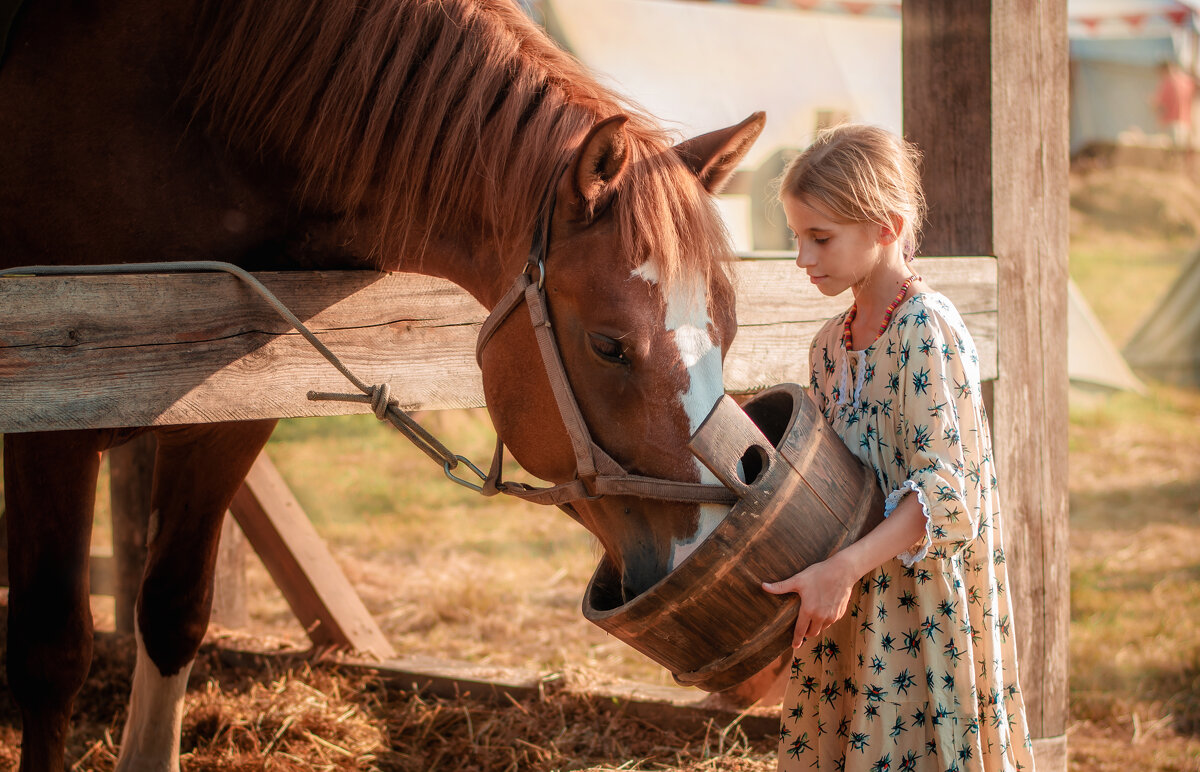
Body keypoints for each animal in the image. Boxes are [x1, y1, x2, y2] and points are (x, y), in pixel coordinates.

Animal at [0, 1, 763, 772]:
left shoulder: (223, 413)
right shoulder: (48, 415)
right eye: (610, 346)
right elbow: (51, 653)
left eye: (729, 332)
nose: (711, 541)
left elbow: (171, 611)